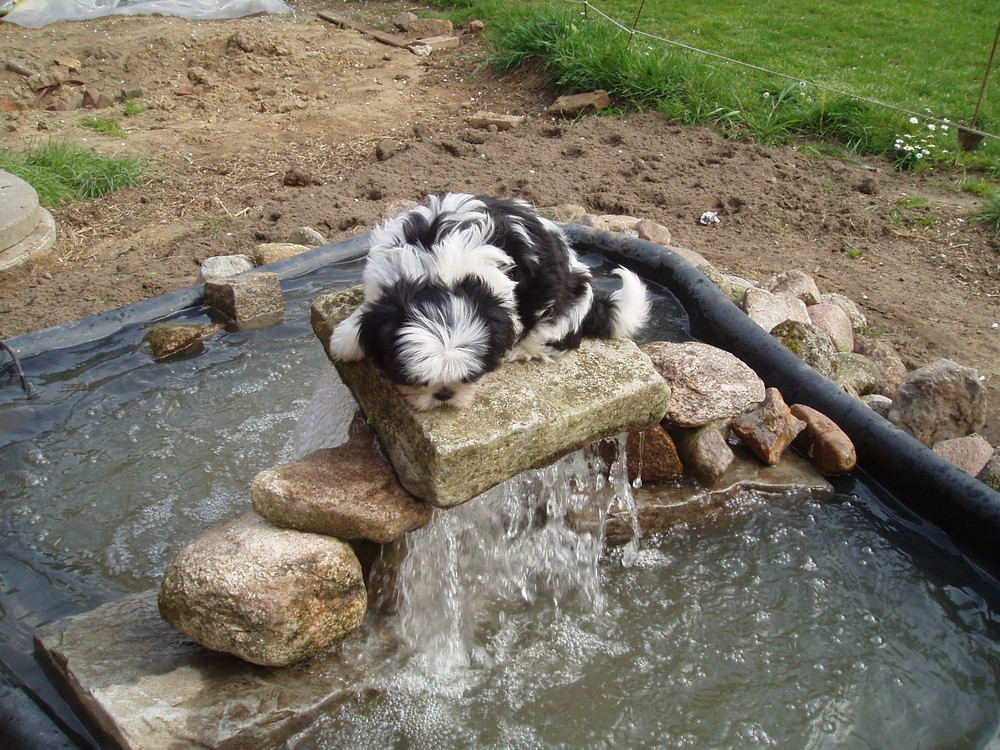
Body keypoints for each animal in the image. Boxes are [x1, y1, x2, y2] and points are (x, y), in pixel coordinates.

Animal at [332, 194, 652, 412]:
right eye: (416, 380)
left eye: (470, 377)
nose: (444, 394)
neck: (440, 275)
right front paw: (348, 336)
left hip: (558, 313)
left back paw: (520, 350)